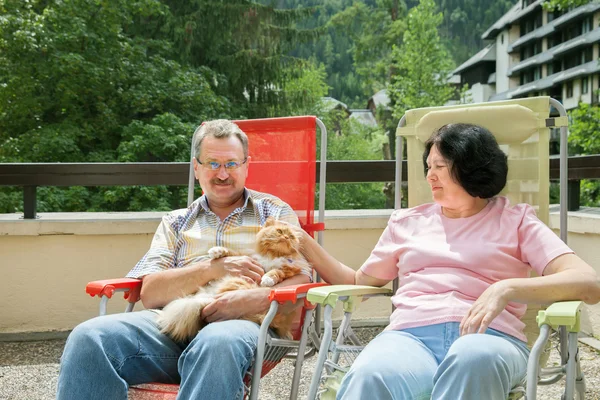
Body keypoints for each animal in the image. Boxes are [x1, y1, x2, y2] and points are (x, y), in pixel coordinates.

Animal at [155, 217, 310, 342]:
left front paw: (267, 279)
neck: (272, 255)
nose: (286, 237)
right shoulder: (249, 258)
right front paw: (216, 251)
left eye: (291, 236)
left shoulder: (288, 270)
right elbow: (231, 253)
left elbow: (275, 272)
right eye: (279, 231)